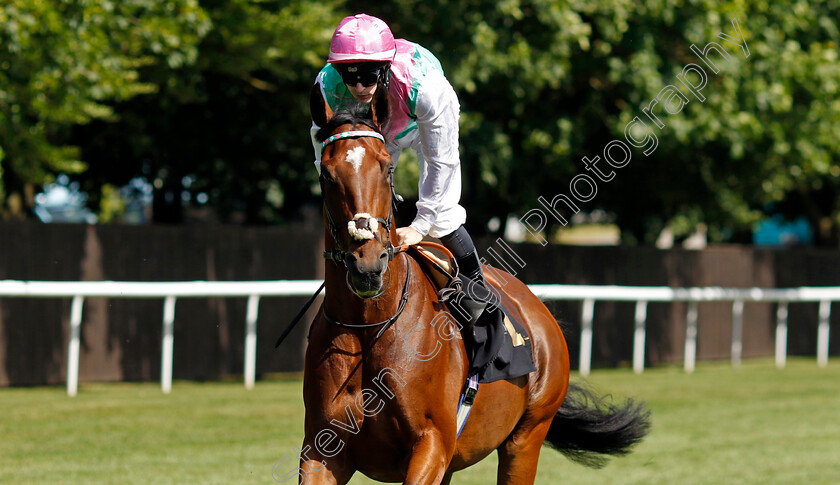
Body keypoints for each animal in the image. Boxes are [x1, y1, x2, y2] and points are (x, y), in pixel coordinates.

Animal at [298, 85, 652, 482]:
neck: (370, 326)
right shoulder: (322, 450)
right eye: (327, 174)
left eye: (387, 166)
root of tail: (539, 310)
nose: (368, 264)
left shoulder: (431, 444)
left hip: (526, 437)